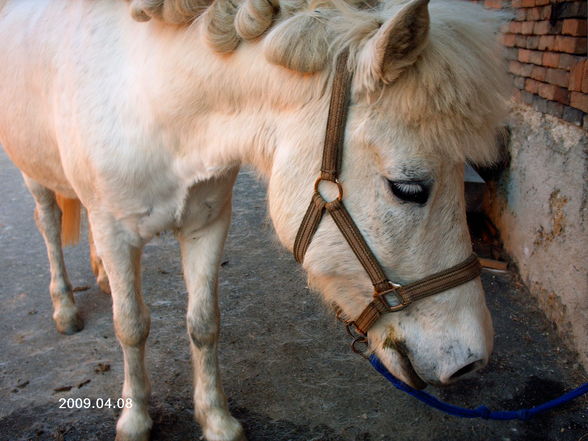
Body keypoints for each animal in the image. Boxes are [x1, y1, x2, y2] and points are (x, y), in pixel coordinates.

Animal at [0, 0, 506, 438]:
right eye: (409, 189)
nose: (472, 360)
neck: (150, 99)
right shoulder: (116, 232)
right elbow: (131, 327)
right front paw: (136, 420)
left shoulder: (207, 224)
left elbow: (204, 324)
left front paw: (216, 420)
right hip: (34, 177)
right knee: (48, 225)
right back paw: (65, 306)